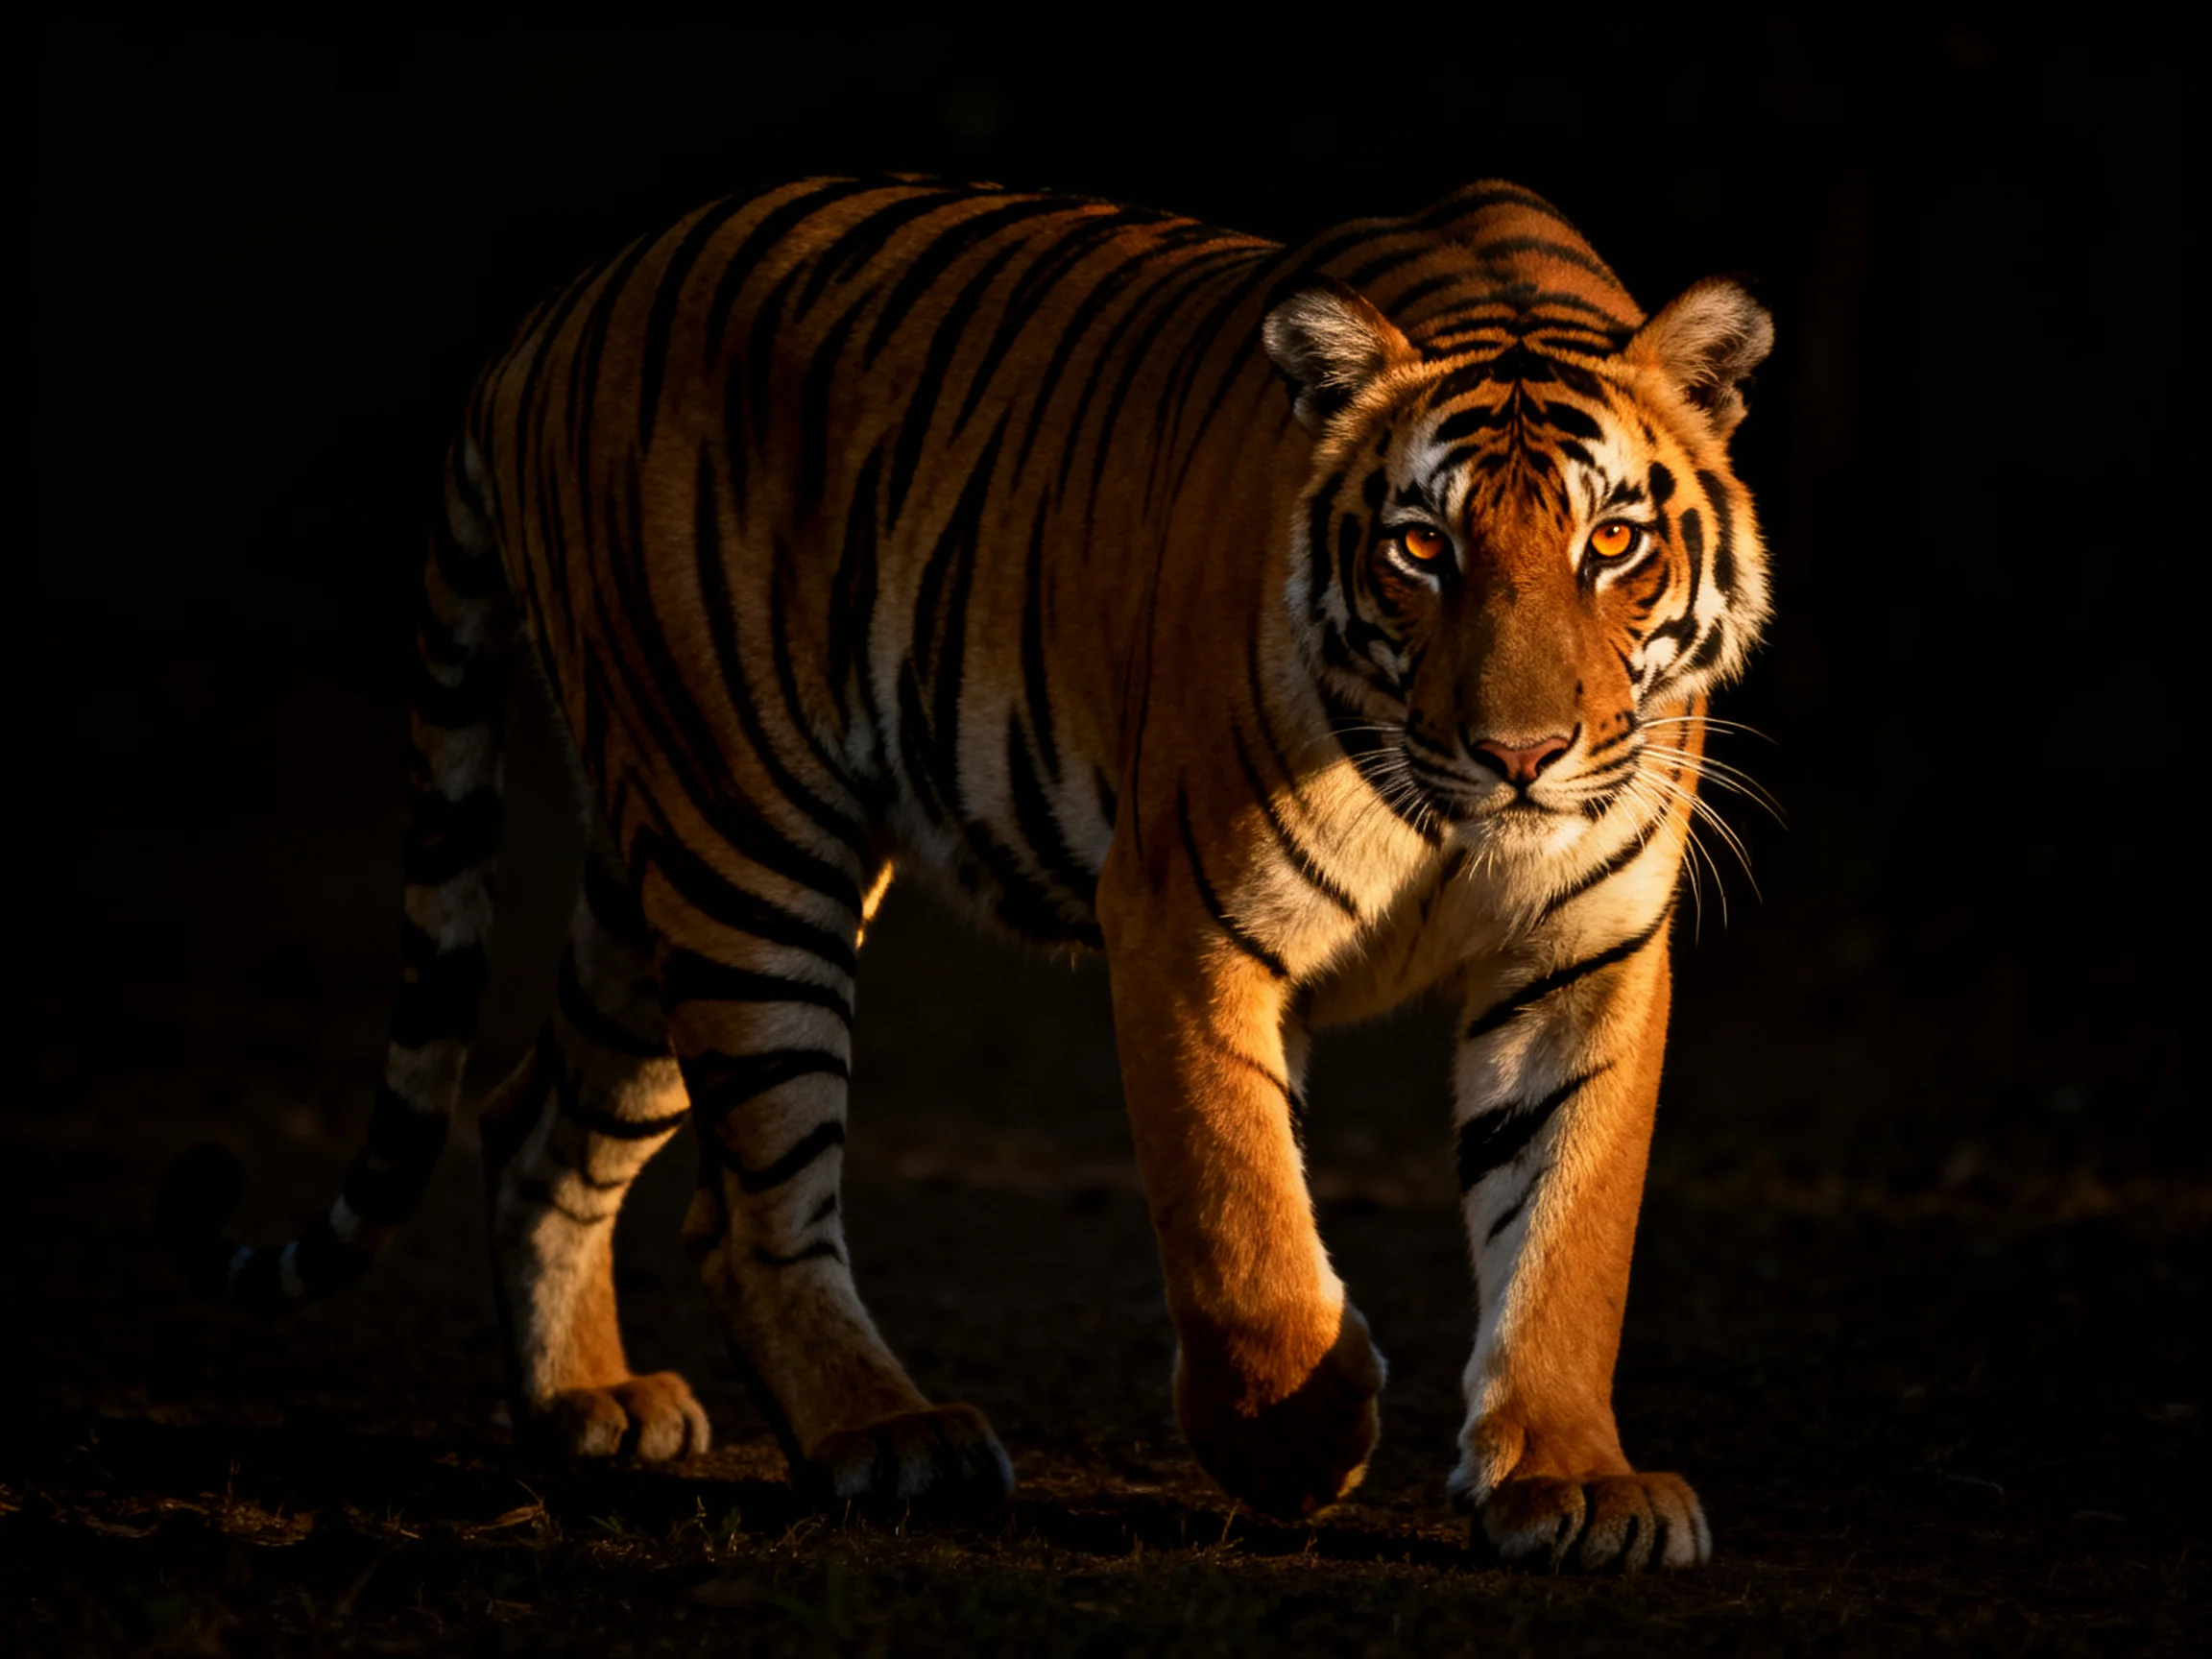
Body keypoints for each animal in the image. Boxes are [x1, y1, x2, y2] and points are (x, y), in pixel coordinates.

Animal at [162, 173, 1771, 1572]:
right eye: (1421, 550)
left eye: (1612, 543)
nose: (1523, 754)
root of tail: (550, 314)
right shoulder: (1189, 916)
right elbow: (1239, 1212)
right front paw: (1299, 1435)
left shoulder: (1585, 953)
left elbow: (1570, 1224)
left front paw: (1571, 1481)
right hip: (749, 849)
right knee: (749, 1212)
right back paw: (888, 1440)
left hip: (651, 870)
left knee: (536, 1117)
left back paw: (588, 1408)